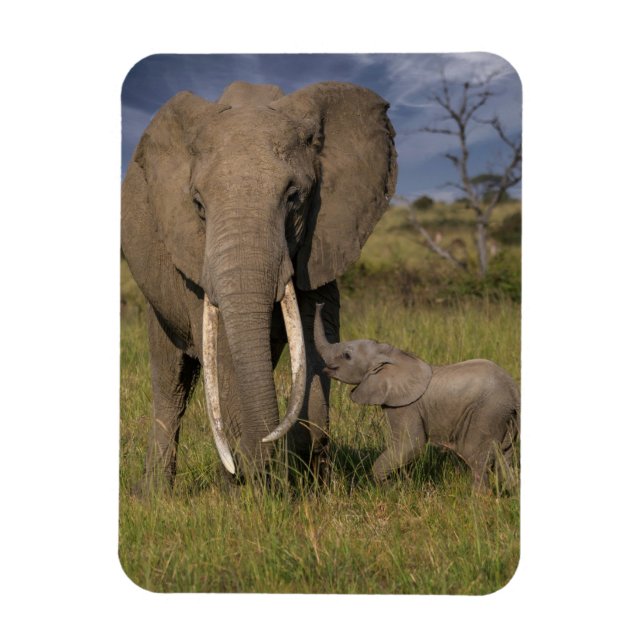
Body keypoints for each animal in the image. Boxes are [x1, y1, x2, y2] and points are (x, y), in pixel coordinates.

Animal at [121, 80, 397, 491]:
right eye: (198, 205)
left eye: (294, 197)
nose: (268, 449)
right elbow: (221, 352)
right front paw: (252, 486)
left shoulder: (321, 237)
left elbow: (316, 336)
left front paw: (306, 480)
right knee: (172, 381)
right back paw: (158, 495)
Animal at [310, 304, 520, 491]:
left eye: (346, 356)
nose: (319, 303)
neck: (391, 355)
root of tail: (513, 391)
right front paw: (396, 487)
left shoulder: (405, 406)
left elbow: (411, 444)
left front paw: (389, 489)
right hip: (505, 418)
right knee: (504, 457)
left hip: (487, 413)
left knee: (476, 457)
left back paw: (478, 500)